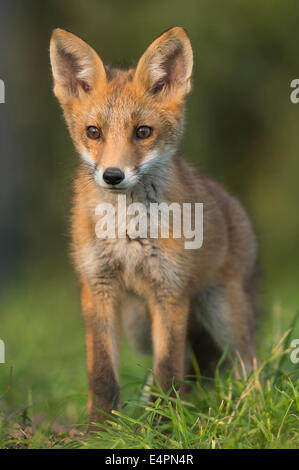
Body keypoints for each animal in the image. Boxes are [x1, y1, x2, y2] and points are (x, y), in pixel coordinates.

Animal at [49, 25, 260, 424]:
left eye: (143, 132)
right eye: (93, 132)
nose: (112, 175)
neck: (126, 229)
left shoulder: (170, 290)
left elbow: (168, 370)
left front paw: (163, 426)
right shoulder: (97, 286)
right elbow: (102, 372)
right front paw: (100, 428)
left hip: (221, 313)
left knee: (247, 361)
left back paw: (250, 408)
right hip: (139, 326)